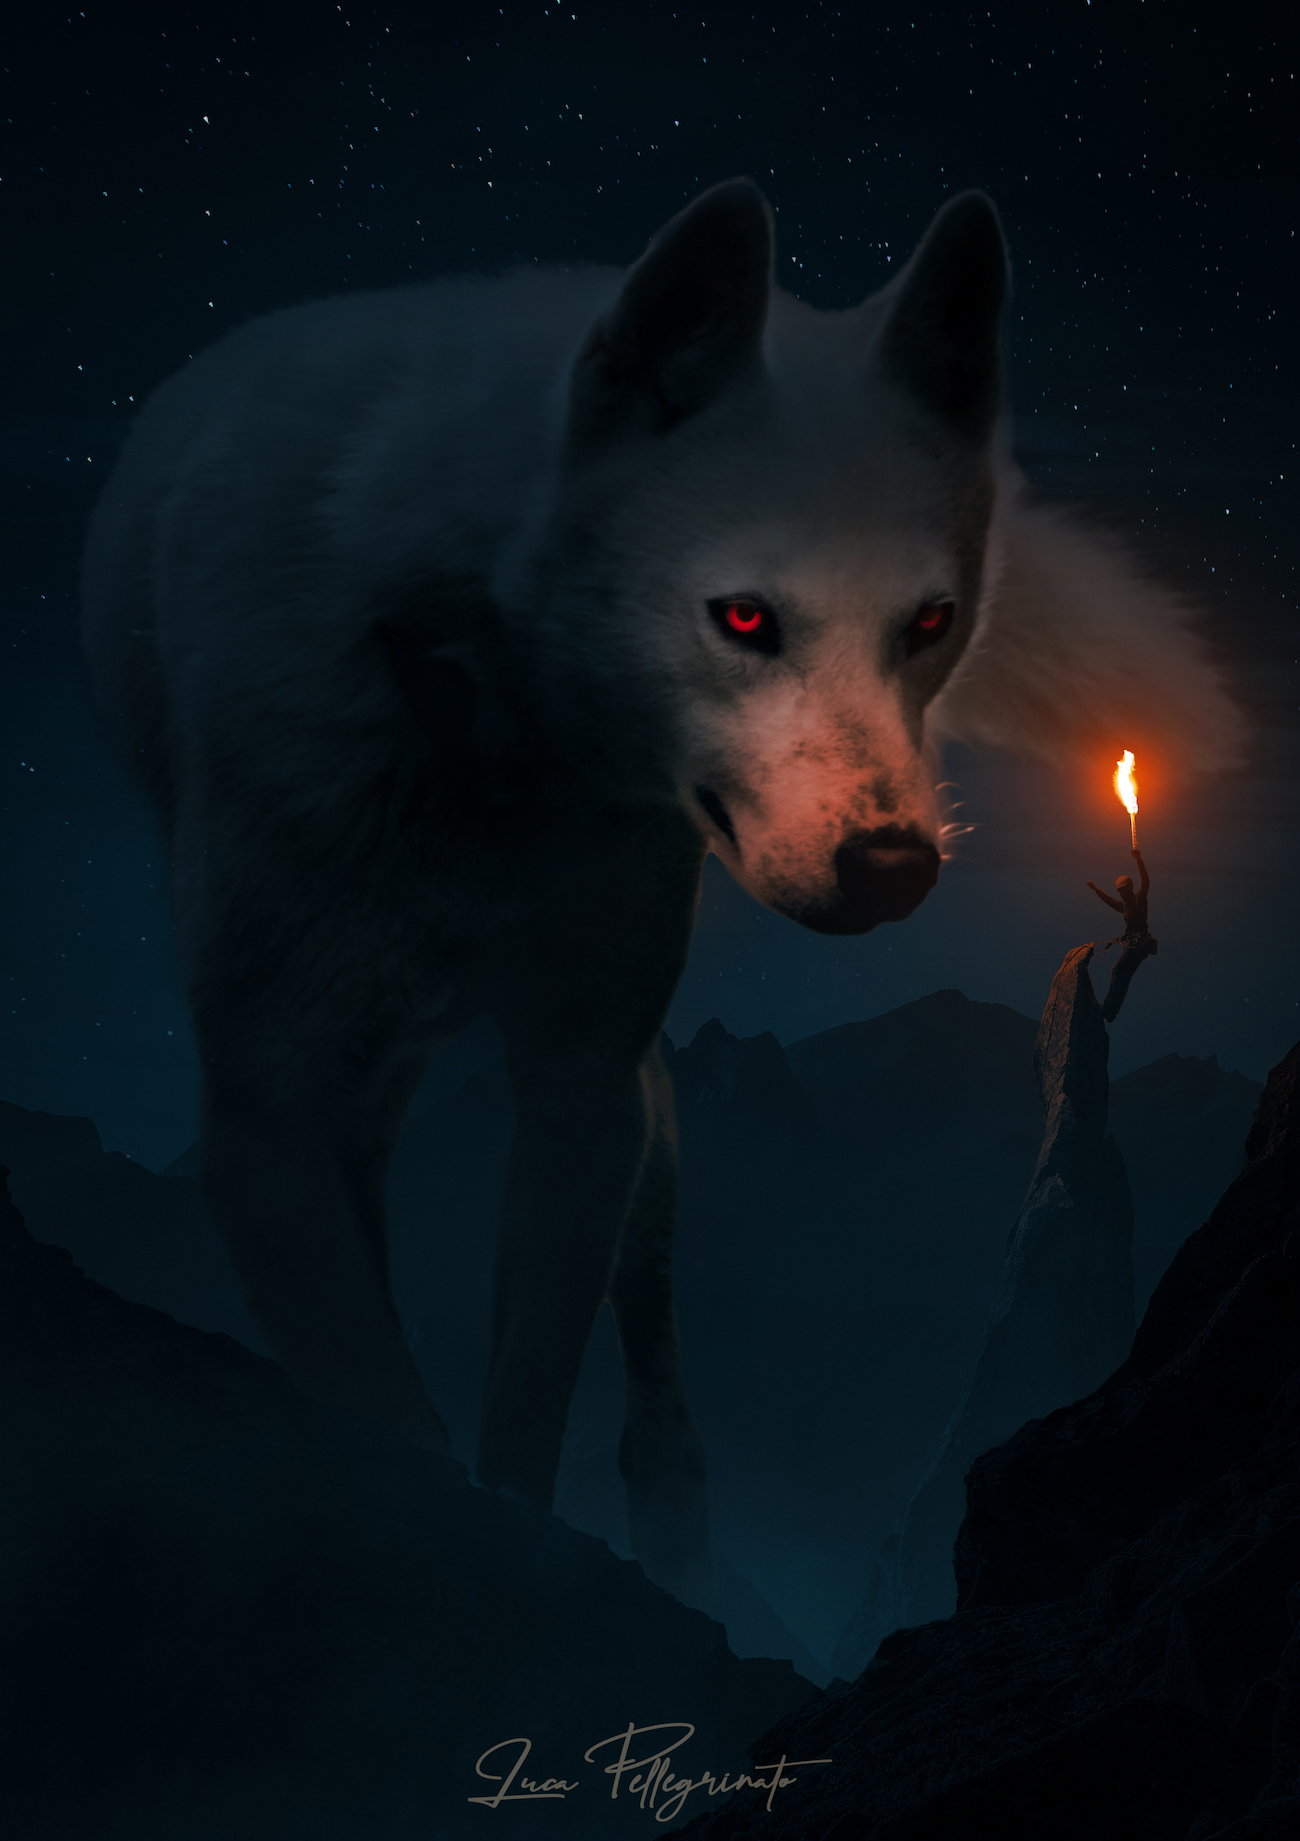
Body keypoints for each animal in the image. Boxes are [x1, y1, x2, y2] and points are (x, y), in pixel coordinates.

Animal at [81, 180, 1239, 1605]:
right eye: (742, 619)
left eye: (927, 622)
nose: (896, 866)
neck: (493, 745)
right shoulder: (269, 1119)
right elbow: (387, 1406)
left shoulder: (578, 1075)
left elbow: (524, 1407)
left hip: (635, 1102)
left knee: (651, 1336)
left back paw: (679, 1529)